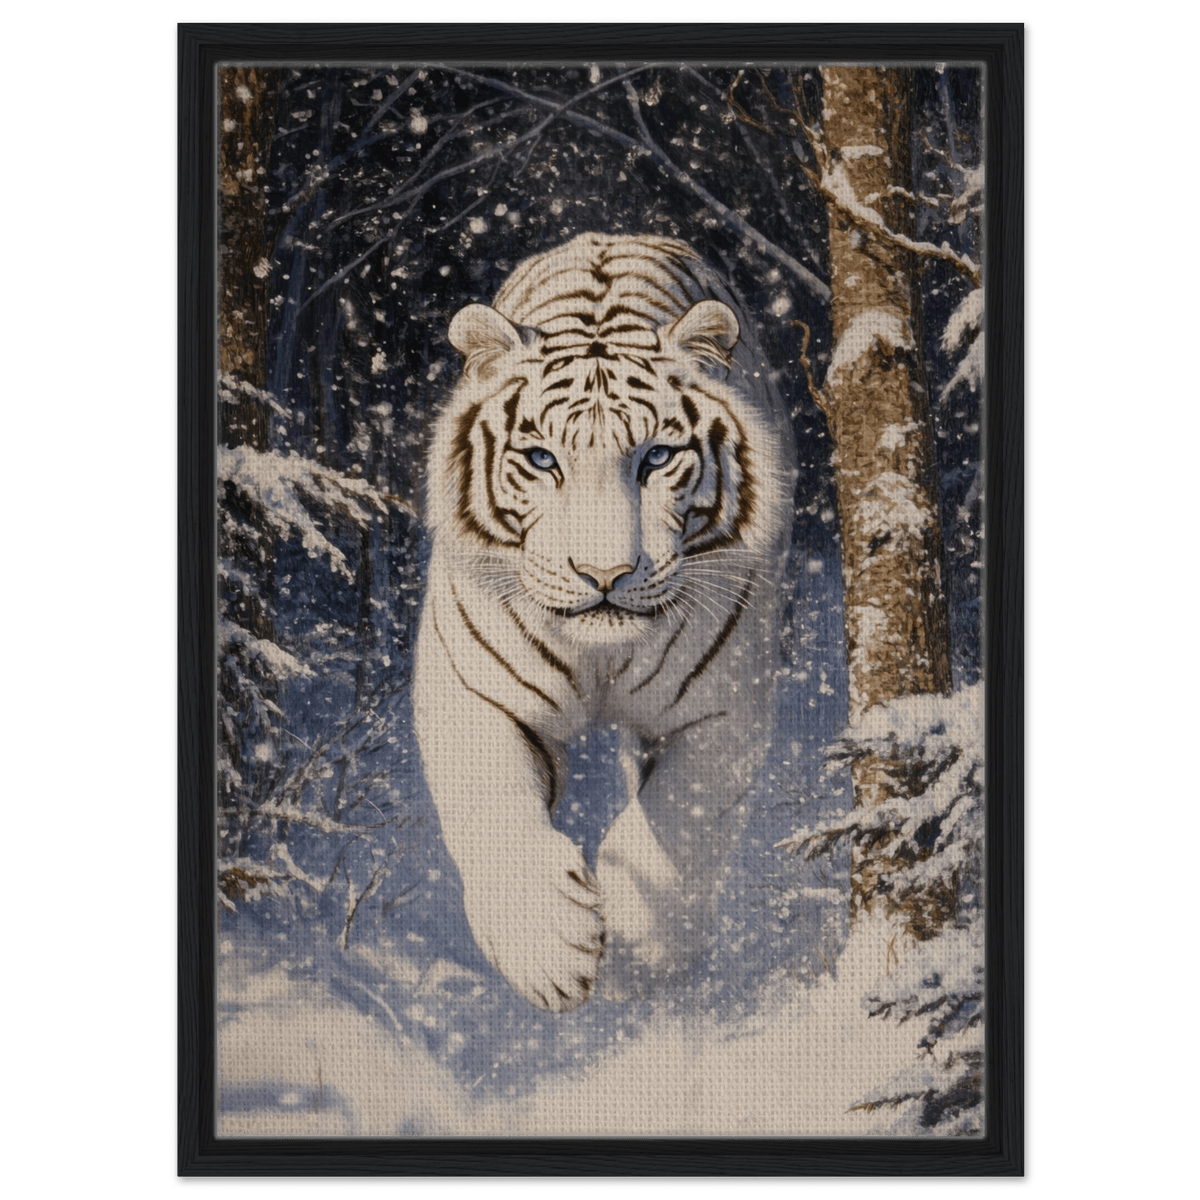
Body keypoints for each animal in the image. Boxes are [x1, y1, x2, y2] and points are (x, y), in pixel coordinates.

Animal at [413, 234, 795, 1012]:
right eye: (540, 459)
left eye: (657, 457)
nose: (604, 575)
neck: (599, 657)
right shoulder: (470, 689)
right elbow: (493, 804)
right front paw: (548, 951)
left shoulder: (722, 706)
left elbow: (676, 824)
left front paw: (640, 954)